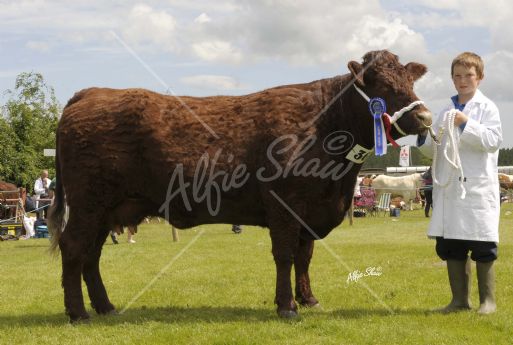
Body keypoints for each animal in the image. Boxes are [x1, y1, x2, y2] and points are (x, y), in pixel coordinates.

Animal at [49, 49, 432, 322]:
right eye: (381, 85)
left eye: (409, 82)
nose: (425, 117)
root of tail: (92, 92)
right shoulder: (285, 206)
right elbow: (285, 255)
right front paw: (287, 306)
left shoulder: (310, 212)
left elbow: (305, 256)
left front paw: (308, 299)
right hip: (88, 204)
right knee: (73, 248)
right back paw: (78, 313)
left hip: (105, 210)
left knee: (91, 255)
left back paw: (105, 307)